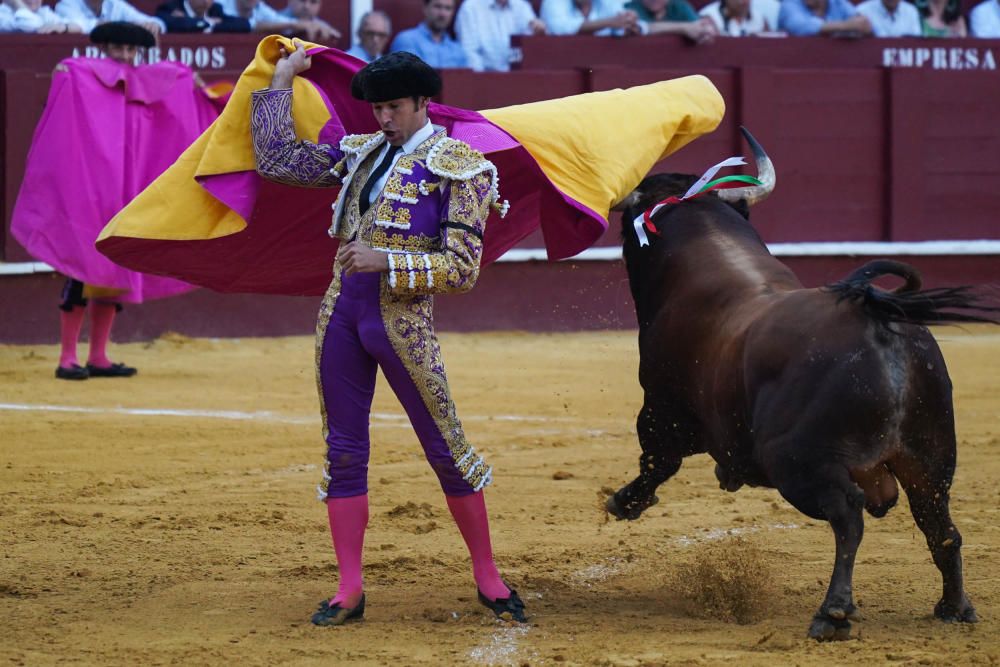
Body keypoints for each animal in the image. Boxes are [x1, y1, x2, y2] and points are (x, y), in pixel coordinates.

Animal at [600, 129, 992, 640]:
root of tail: (877, 321)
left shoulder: (661, 410)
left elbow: (656, 462)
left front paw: (623, 502)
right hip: (931, 454)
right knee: (940, 525)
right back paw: (954, 606)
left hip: (797, 460)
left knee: (849, 516)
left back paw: (833, 612)